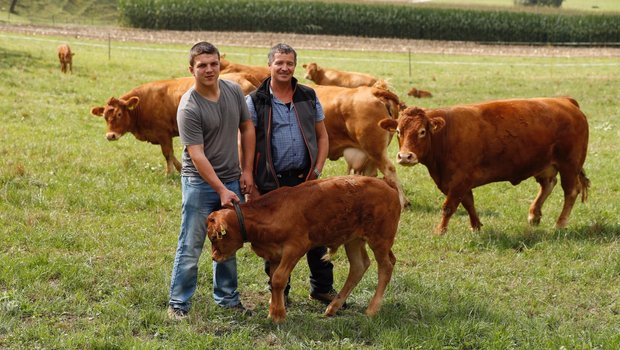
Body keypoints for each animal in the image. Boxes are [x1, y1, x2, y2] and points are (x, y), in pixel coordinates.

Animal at [208, 175, 402, 322]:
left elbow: (279, 279)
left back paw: (372, 309)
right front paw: (274, 312)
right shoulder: (275, 254)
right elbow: (275, 281)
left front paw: (278, 316)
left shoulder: (296, 247)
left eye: (214, 237)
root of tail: (386, 183)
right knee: (359, 266)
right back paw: (333, 307)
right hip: (353, 240)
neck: (271, 213)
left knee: (386, 266)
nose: (213, 258)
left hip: (380, 239)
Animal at [378, 97, 592, 234]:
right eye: (398, 131)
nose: (405, 156)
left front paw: (440, 230)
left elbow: (449, 206)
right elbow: (468, 203)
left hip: (569, 164)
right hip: (545, 164)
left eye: (422, 131)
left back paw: (560, 223)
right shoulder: (458, 182)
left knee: (570, 192)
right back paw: (534, 215)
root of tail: (566, 101)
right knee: (548, 185)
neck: (445, 135)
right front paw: (476, 226)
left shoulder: (459, 180)